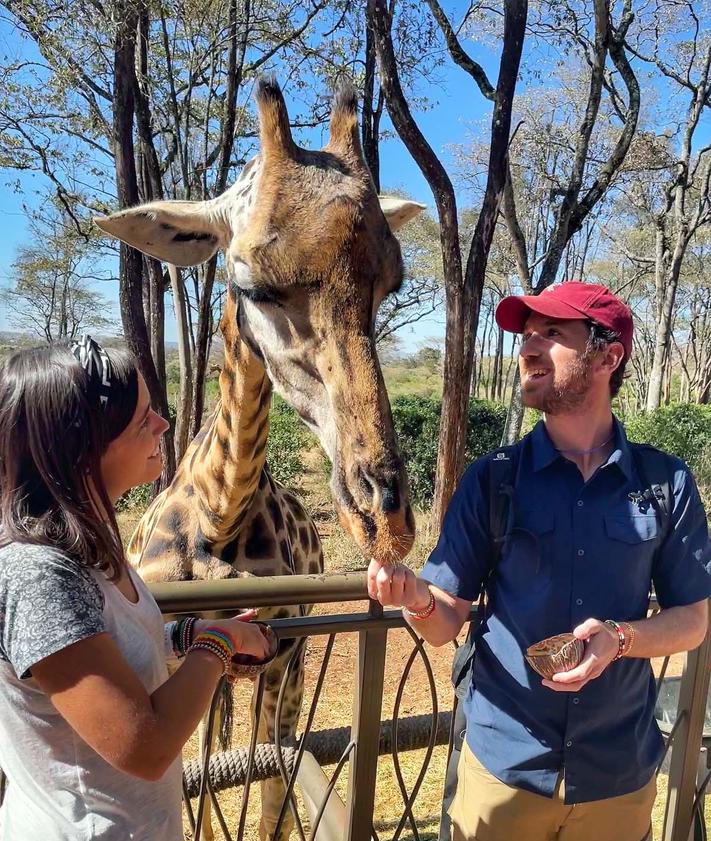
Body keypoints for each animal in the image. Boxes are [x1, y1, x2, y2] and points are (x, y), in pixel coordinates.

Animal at [97, 80, 426, 840]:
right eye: (252, 285)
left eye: (388, 286)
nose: (386, 520)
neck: (219, 516)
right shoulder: (179, 653)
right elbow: (198, 781)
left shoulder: (283, 657)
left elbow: (272, 787)